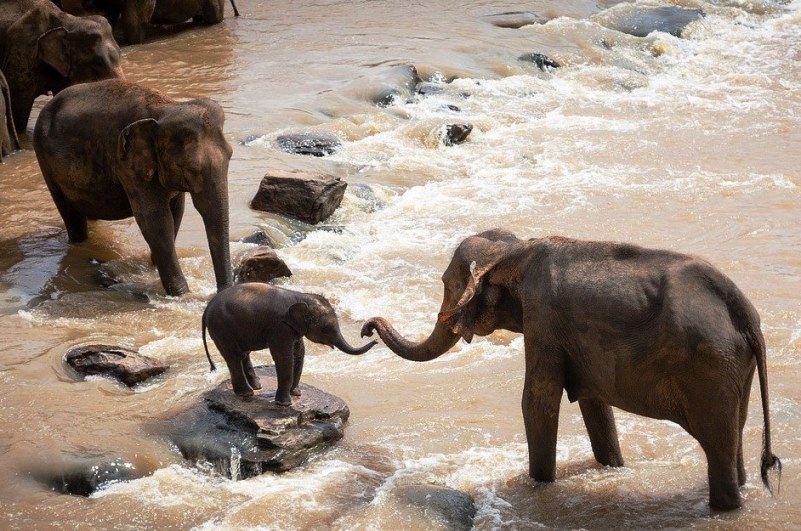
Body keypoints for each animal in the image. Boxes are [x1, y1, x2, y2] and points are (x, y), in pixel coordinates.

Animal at [33, 79, 233, 296]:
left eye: (230, 155)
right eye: (191, 168)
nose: (220, 292)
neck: (165, 107)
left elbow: (176, 212)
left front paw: (155, 266)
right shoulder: (127, 165)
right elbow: (155, 220)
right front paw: (181, 294)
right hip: (45, 162)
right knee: (71, 216)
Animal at [201, 282, 377, 405]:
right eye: (326, 329)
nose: (373, 337)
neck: (301, 297)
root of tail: (207, 308)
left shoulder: (293, 328)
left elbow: (299, 353)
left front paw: (296, 394)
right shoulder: (280, 327)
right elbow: (284, 357)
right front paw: (285, 403)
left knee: (243, 354)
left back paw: (256, 386)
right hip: (221, 328)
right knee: (234, 356)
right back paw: (246, 393)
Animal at [361, 229, 782, 510]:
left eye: (447, 285)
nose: (366, 329)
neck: (514, 250)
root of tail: (745, 313)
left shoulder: (543, 321)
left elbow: (537, 401)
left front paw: (538, 486)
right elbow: (595, 404)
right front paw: (612, 467)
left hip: (710, 368)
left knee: (718, 445)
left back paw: (723, 508)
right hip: (733, 369)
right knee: (735, 435)